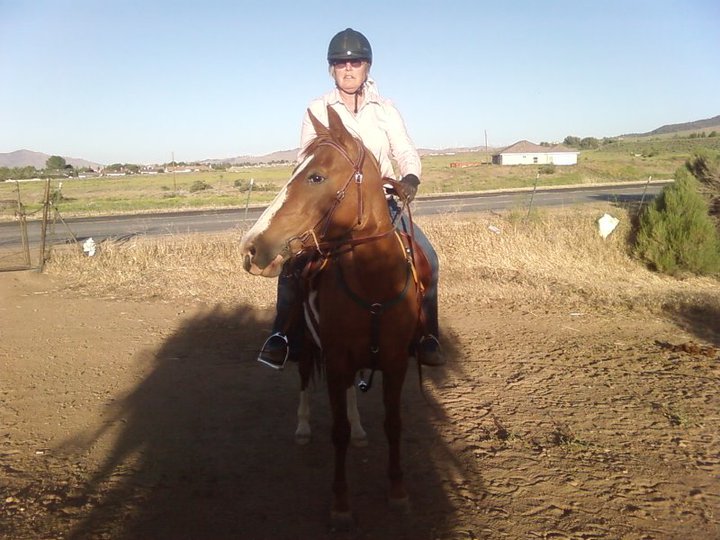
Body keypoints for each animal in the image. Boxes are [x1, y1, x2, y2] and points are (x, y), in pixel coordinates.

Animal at [242, 104, 422, 524]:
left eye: (316, 176)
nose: (251, 248)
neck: (373, 281)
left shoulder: (394, 362)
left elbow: (393, 424)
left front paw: (398, 491)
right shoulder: (336, 358)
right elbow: (335, 430)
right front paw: (341, 504)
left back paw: (359, 431)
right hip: (307, 345)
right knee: (305, 379)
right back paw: (303, 428)